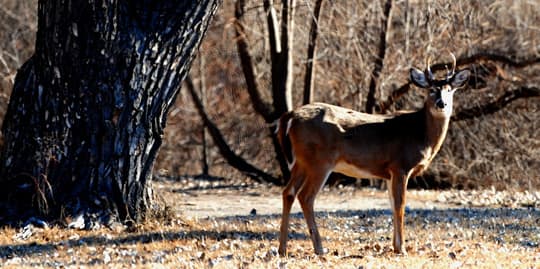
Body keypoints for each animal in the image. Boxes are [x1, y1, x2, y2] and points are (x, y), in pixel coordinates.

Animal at [274, 52, 468, 255]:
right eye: (431, 89)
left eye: (449, 90)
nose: (441, 103)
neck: (420, 133)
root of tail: (289, 117)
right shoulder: (400, 166)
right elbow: (400, 204)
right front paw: (402, 249)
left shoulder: (389, 173)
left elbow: (392, 203)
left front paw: (395, 246)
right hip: (319, 161)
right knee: (306, 196)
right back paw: (319, 248)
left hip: (301, 162)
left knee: (288, 192)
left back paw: (282, 248)